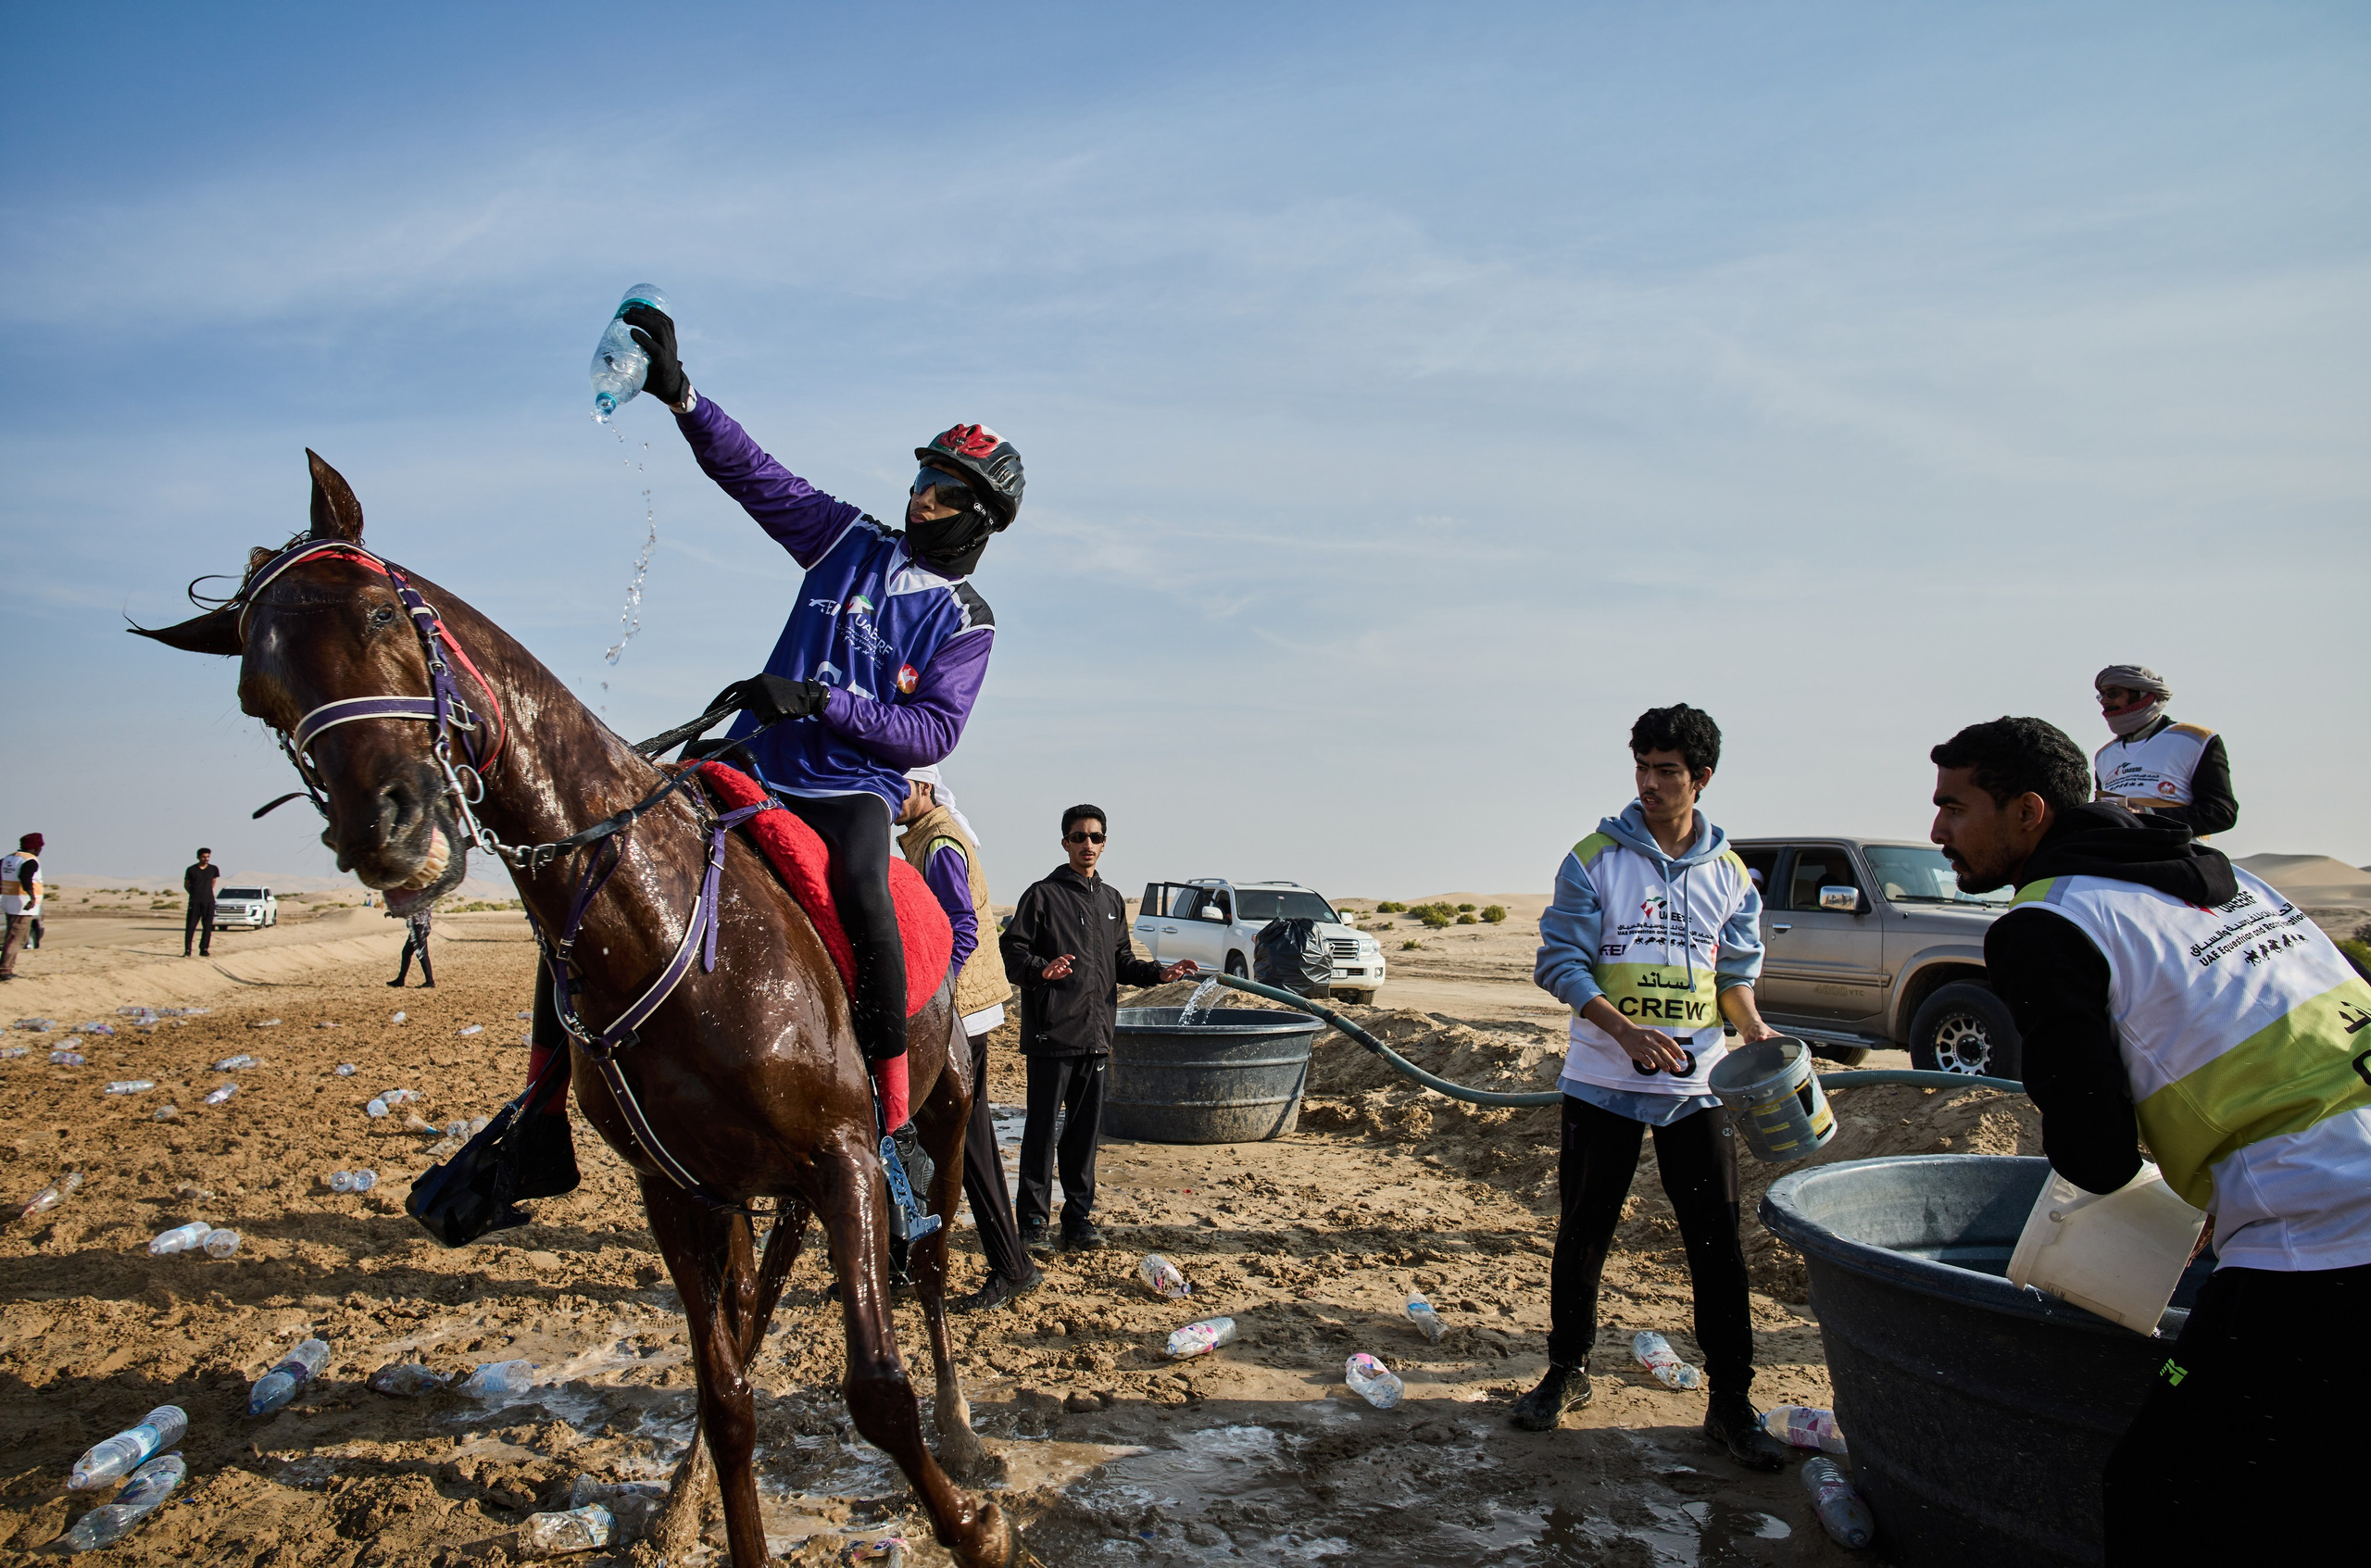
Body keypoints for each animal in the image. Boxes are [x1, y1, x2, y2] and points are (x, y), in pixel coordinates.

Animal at [134, 451, 1018, 1568]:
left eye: (379, 613)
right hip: (764, 1181)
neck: (676, 919)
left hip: (938, 1109)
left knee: (934, 1264)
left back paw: (965, 1434)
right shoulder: (676, 1187)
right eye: (259, 695)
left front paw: (978, 1529)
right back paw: (683, 1492)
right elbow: (726, 1393)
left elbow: (878, 1391)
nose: (386, 826)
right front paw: (705, 1511)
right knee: (761, 1295)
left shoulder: (849, 1157)